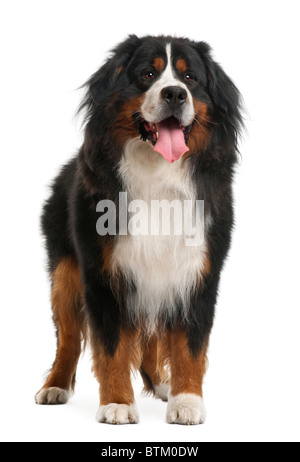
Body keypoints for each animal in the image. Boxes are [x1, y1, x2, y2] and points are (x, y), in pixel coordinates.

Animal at [35, 35, 243, 426]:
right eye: (148, 74)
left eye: (190, 77)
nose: (175, 94)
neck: (159, 176)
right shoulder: (104, 273)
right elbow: (112, 346)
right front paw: (116, 403)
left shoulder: (197, 272)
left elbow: (190, 345)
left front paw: (187, 401)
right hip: (65, 274)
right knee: (68, 338)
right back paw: (54, 386)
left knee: (150, 338)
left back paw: (163, 384)